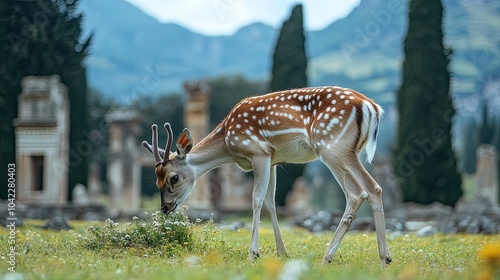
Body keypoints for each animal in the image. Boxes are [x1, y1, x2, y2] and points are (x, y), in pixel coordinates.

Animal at [141, 85, 390, 264]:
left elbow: (256, 200)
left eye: (174, 178)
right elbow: (271, 201)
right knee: (374, 188)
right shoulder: (273, 159)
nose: (165, 207)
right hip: (348, 152)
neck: (228, 143)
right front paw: (282, 252)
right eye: (156, 181)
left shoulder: (258, 152)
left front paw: (253, 253)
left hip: (331, 147)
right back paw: (382, 257)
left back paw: (333, 257)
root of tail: (371, 107)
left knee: (360, 192)